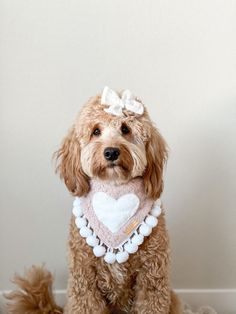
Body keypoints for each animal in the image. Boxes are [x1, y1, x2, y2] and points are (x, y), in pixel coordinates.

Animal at [6, 87, 182, 314]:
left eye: (125, 129)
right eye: (96, 131)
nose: (111, 152)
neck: (115, 189)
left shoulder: (152, 277)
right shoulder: (84, 279)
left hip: (172, 299)